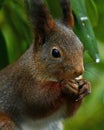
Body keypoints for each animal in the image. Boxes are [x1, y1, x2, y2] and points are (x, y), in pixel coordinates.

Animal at [0, 0, 91, 130]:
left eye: (82, 48)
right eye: (55, 53)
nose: (79, 71)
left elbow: (69, 112)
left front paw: (85, 85)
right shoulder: (24, 83)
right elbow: (37, 101)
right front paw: (64, 86)